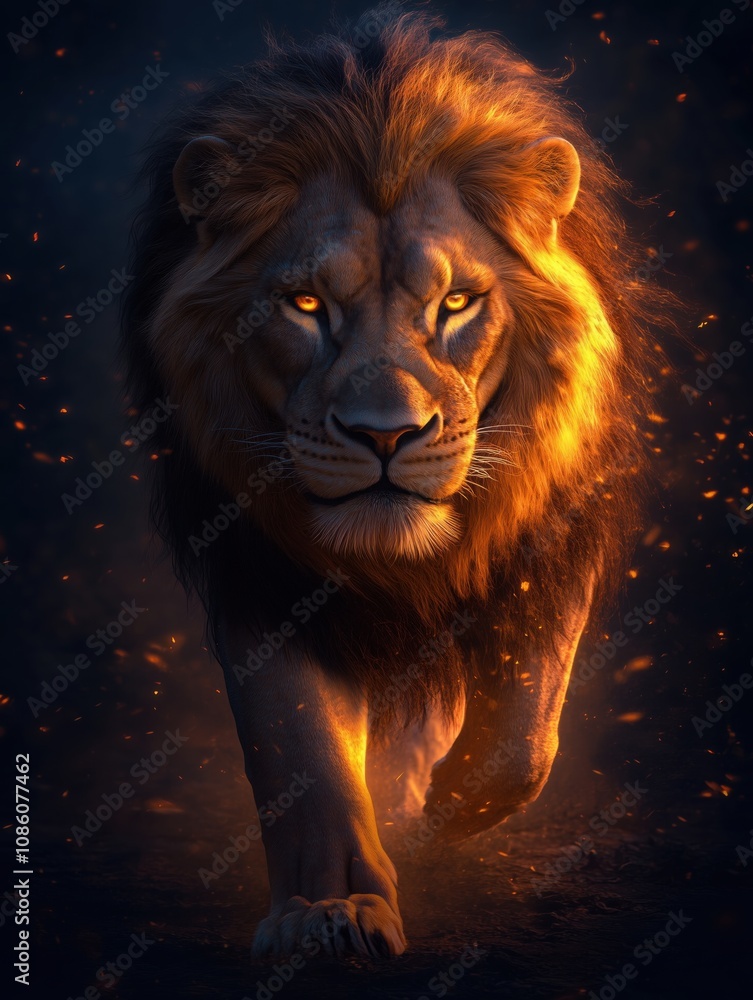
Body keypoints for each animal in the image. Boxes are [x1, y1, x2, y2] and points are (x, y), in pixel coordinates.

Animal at [122, 5, 666, 960]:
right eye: (305, 305)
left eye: (454, 305)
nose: (386, 435)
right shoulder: (258, 569)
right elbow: (300, 752)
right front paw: (327, 909)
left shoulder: (551, 531)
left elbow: (523, 727)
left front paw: (450, 808)